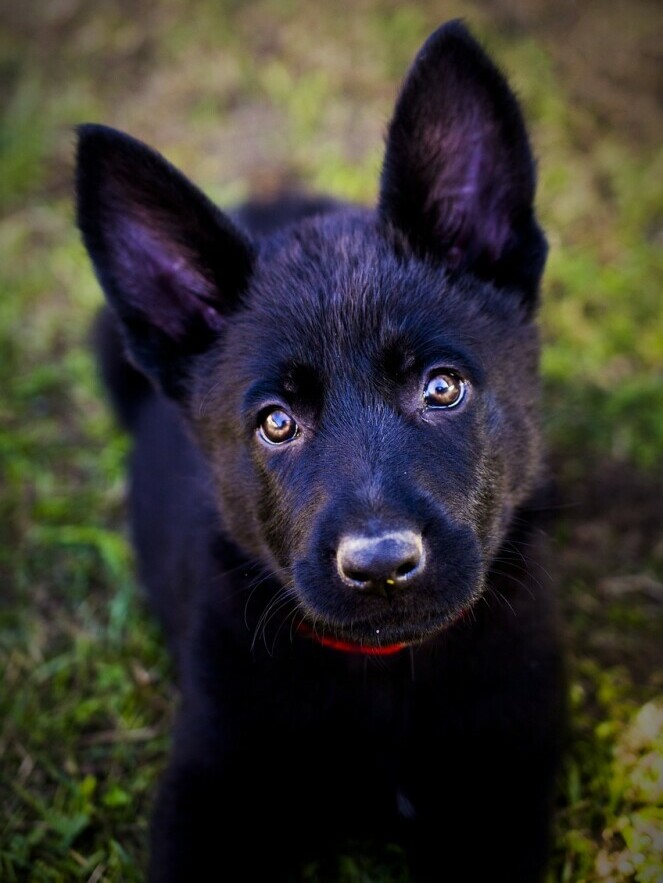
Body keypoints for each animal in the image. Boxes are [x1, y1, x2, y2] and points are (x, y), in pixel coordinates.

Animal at [76, 20, 564, 883]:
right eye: (276, 423)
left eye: (441, 387)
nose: (380, 567)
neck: (384, 678)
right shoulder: (213, 787)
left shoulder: (497, 788)